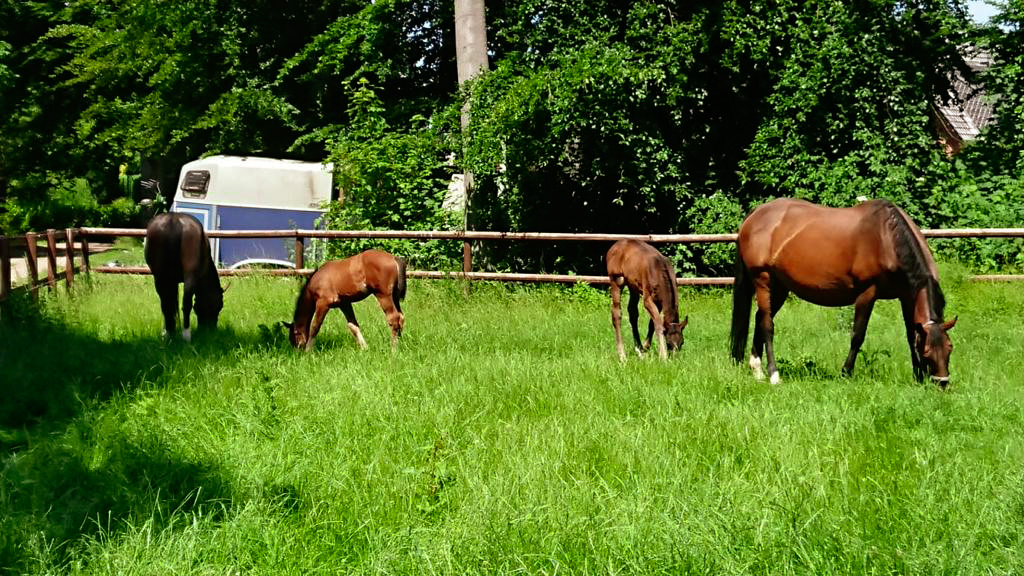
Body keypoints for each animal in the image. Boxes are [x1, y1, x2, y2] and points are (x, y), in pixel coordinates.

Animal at [143, 212, 223, 340]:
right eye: (219, 306)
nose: (210, 329)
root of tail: (173, 219)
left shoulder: (171, 281)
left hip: (159, 277)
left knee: (165, 304)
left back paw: (169, 334)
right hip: (189, 275)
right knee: (186, 304)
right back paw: (186, 335)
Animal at [729, 198, 958, 385]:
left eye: (950, 348)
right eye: (927, 352)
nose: (942, 383)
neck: (887, 239)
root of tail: (755, 214)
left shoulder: (906, 296)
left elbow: (911, 334)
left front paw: (917, 376)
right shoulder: (867, 293)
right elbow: (858, 335)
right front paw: (846, 373)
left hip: (779, 288)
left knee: (760, 319)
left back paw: (757, 370)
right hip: (763, 281)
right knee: (767, 325)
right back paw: (773, 374)